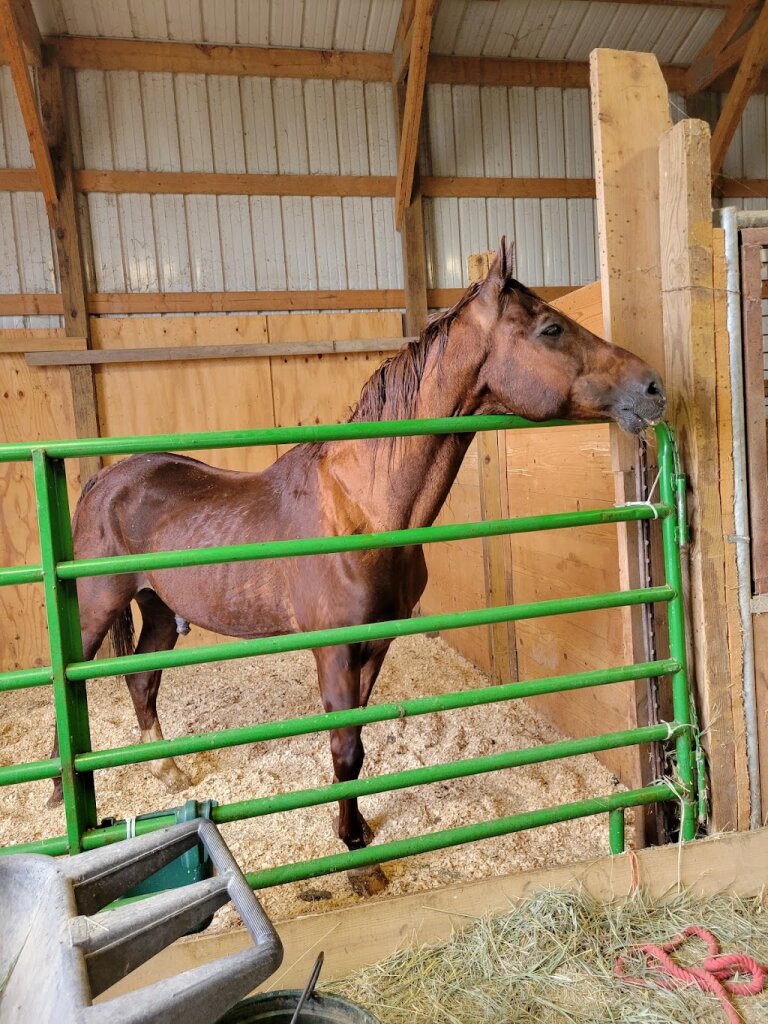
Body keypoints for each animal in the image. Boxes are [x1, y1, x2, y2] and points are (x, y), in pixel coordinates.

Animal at [49, 239, 666, 869]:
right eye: (551, 328)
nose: (651, 387)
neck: (363, 511)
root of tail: (104, 480)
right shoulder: (335, 652)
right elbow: (344, 747)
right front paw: (350, 844)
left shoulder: (376, 645)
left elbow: (358, 744)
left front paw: (358, 829)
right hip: (96, 611)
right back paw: (58, 795)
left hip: (157, 609)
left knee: (141, 682)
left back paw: (168, 772)